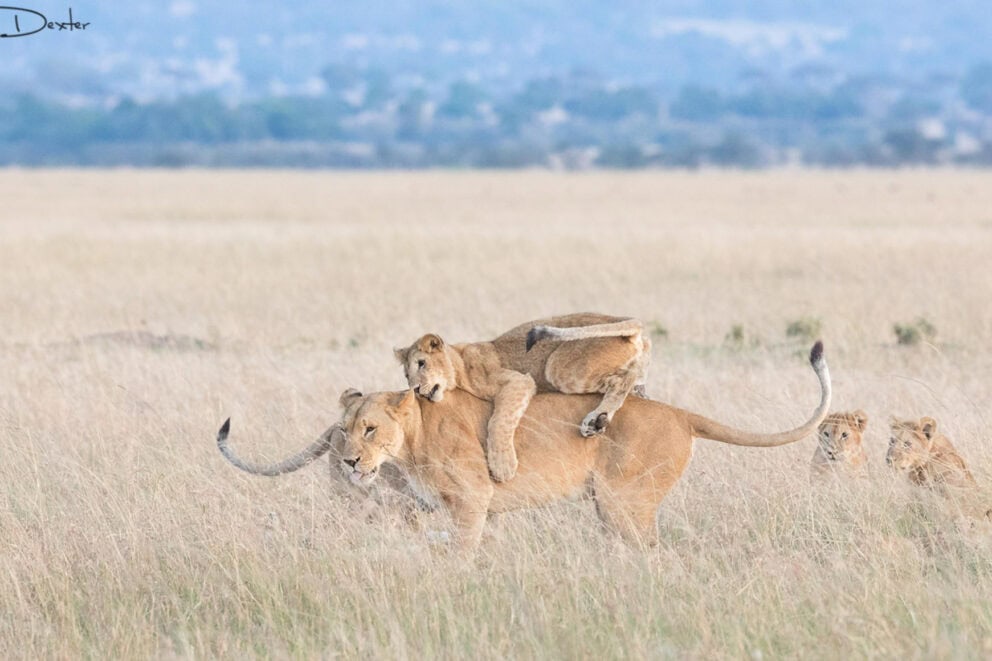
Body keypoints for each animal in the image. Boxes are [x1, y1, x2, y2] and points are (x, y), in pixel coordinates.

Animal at [218, 342, 831, 552]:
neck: (411, 441)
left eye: (369, 429)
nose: (347, 460)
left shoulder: (471, 502)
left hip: (623, 502)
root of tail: (679, 412)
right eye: (343, 432)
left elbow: (461, 553)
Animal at [393, 313, 650, 483]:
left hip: (558, 367)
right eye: (406, 374)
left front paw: (502, 466)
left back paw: (596, 420)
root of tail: (625, 321)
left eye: (422, 363)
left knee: (623, 379)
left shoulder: (519, 381)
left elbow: (498, 421)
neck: (459, 361)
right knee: (635, 382)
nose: (416, 389)